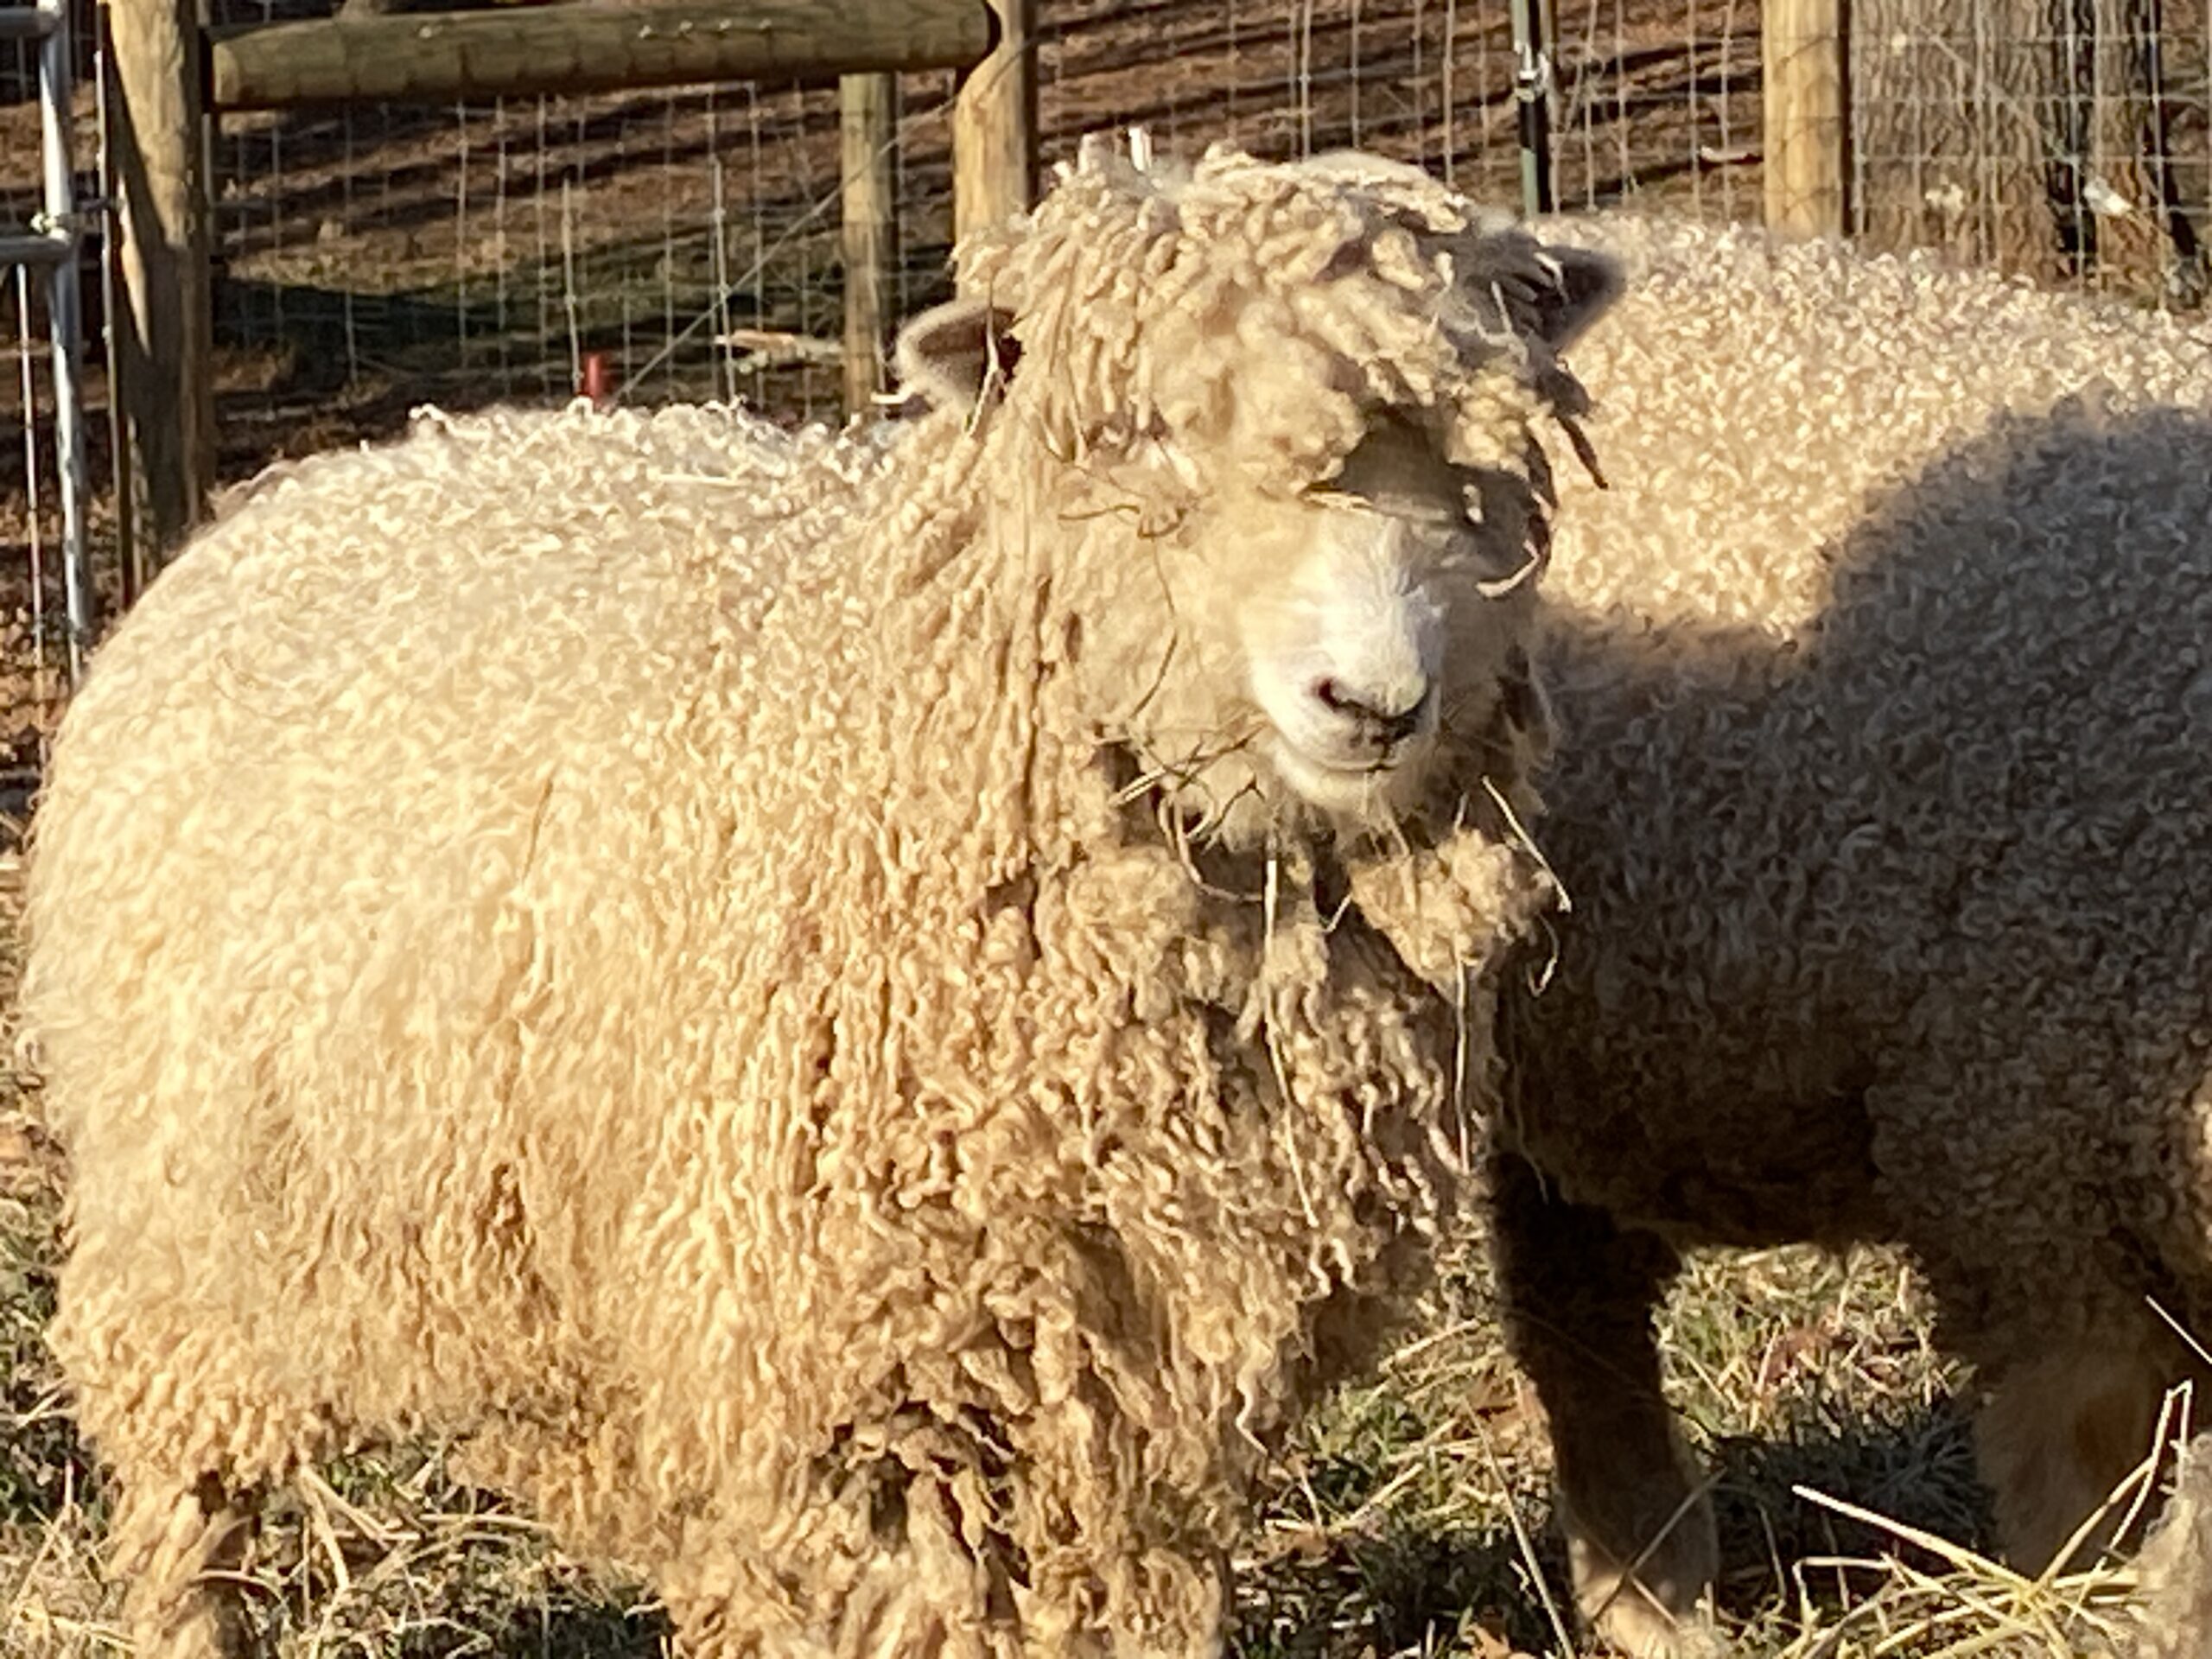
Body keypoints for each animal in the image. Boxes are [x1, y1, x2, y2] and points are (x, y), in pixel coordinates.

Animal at [18, 141, 1622, 1659]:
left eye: (1475, 460)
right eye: (1144, 440)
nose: (1374, 699)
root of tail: (290, 498)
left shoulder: (1130, 1363)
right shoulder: (834, 1361)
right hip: (191, 1238)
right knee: (186, 1494)